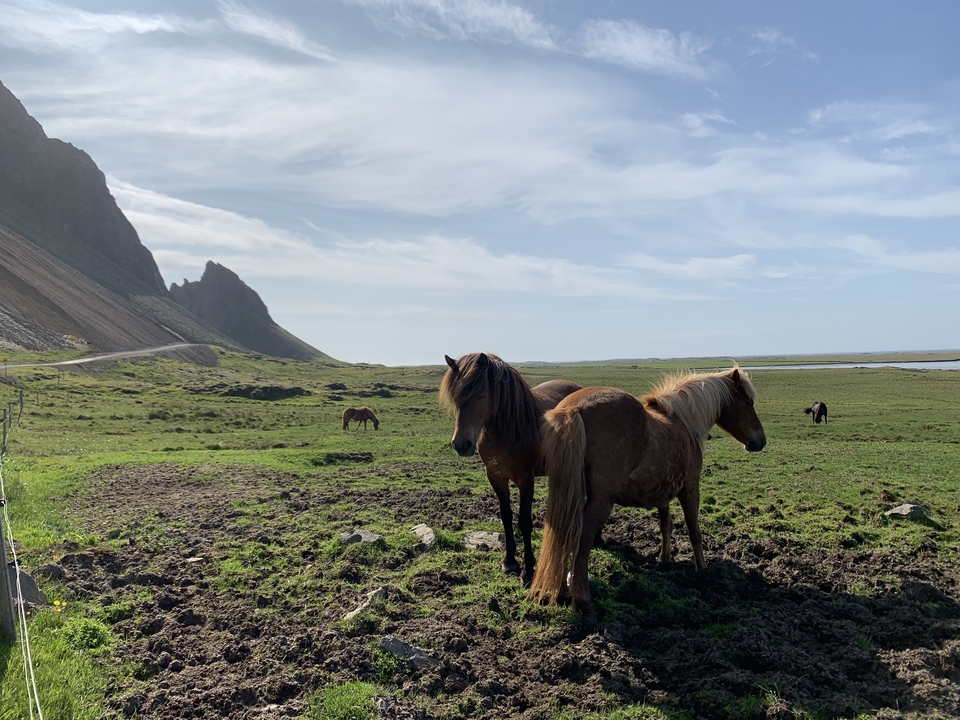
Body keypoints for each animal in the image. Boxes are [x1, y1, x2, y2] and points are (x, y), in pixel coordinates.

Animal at [439, 352, 582, 586]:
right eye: (455, 397)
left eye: (481, 394)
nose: (461, 445)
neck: (507, 431)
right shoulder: (495, 476)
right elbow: (506, 516)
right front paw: (509, 561)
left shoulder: (526, 479)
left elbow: (524, 520)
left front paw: (529, 570)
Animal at [528, 366, 766, 622]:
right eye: (749, 402)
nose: (760, 441)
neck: (682, 421)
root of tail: (573, 407)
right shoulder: (690, 488)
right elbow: (694, 531)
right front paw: (702, 569)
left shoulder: (663, 493)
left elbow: (665, 526)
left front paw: (665, 560)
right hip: (600, 500)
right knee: (583, 536)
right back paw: (583, 601)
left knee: (566, 532)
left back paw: (562, 590)